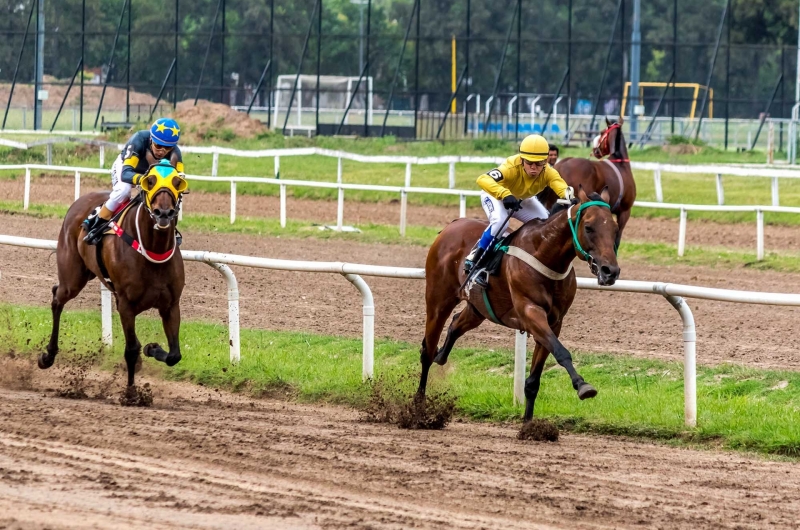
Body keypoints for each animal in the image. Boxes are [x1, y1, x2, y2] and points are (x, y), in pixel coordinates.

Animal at [41, 159, 189, 390]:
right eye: (150, 181)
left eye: (177, 182)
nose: (163, 213)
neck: (152, 250)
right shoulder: (127, 305)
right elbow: (131, 349)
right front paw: (131, 392)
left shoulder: (171, 305)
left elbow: (174, 354)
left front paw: (151, 348)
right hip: (72, 278)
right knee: (58, 297)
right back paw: (48, 355)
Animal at [418, 186, 620, 420]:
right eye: (588, 227)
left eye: (615, 229)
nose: (610, 271)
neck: (545, 255)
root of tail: (451, 225)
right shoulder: (531, 311)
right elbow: (561, 352)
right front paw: (582, 385)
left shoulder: (554, 322)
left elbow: (534, 380)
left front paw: (528, 423)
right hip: (438, 301)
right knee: (427, 351)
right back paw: (417, 405)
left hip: (478, 308)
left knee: (456, 323)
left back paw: (442, 356)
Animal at [548, 116, 636, 249]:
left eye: (601, 132)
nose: (595, 150)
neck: (620, 164)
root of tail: (561, 164)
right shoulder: (624, 212)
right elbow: (616, 242)